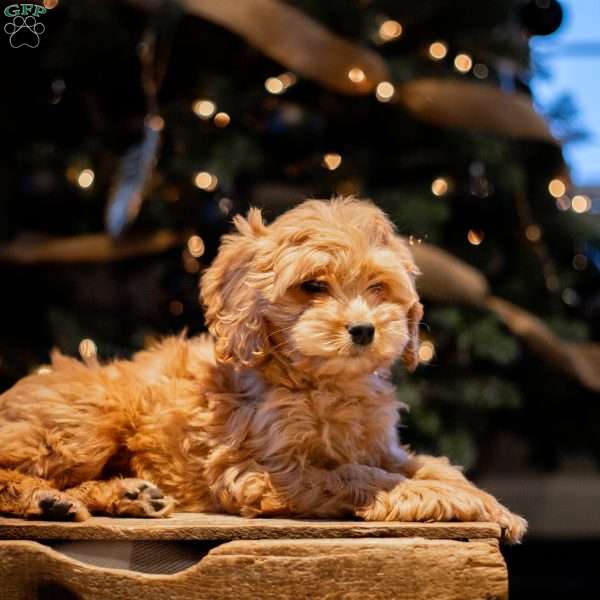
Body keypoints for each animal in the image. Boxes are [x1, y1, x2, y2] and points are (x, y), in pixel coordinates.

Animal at [0, 199, 524, 540]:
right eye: (313, 286)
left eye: (378, 287)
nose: (363, 330)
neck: (322, 383)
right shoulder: (259, 470)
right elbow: (356, 475)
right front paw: (461, 501)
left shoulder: (381, 446)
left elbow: (428, 464)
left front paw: (493, 506)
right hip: (84, 425)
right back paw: (46, 501)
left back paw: (129, 495)